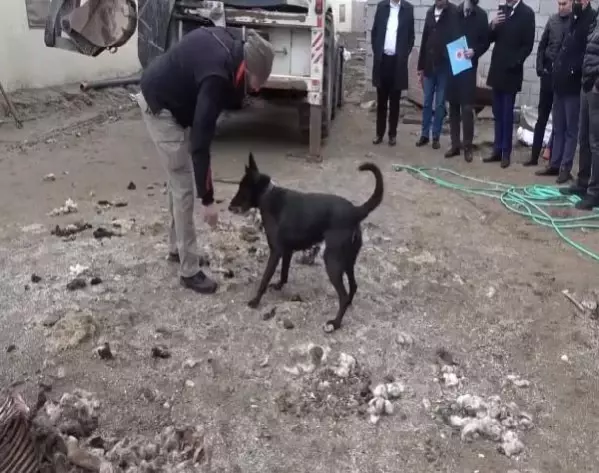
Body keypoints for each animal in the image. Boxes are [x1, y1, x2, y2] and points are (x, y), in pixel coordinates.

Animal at [230, 153, 384, 330]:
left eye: (242, 188)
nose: (229, 206)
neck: (268, 195)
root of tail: (355, 211)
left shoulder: (275, 251)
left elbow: (264, 278)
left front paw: (255, 301)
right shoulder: (287, 251)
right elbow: (284, 273)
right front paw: (279, 285)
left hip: (332, 260)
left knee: (343, 295)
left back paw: (335, 323)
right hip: (348, 260)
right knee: (353, 286)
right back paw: (348, 306)